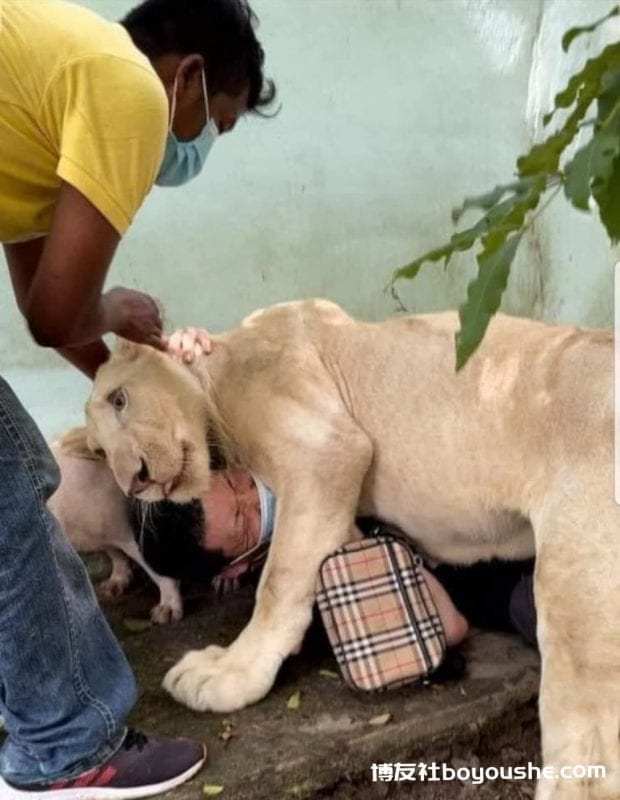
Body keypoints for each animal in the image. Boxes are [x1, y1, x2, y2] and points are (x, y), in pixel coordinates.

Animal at [81, 300, 616, 800]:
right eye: (101, 453)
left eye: (120, 399)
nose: (135, 481)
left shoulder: (325, 450)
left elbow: (277, 583)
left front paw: (229, 674)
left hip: (575, 569)